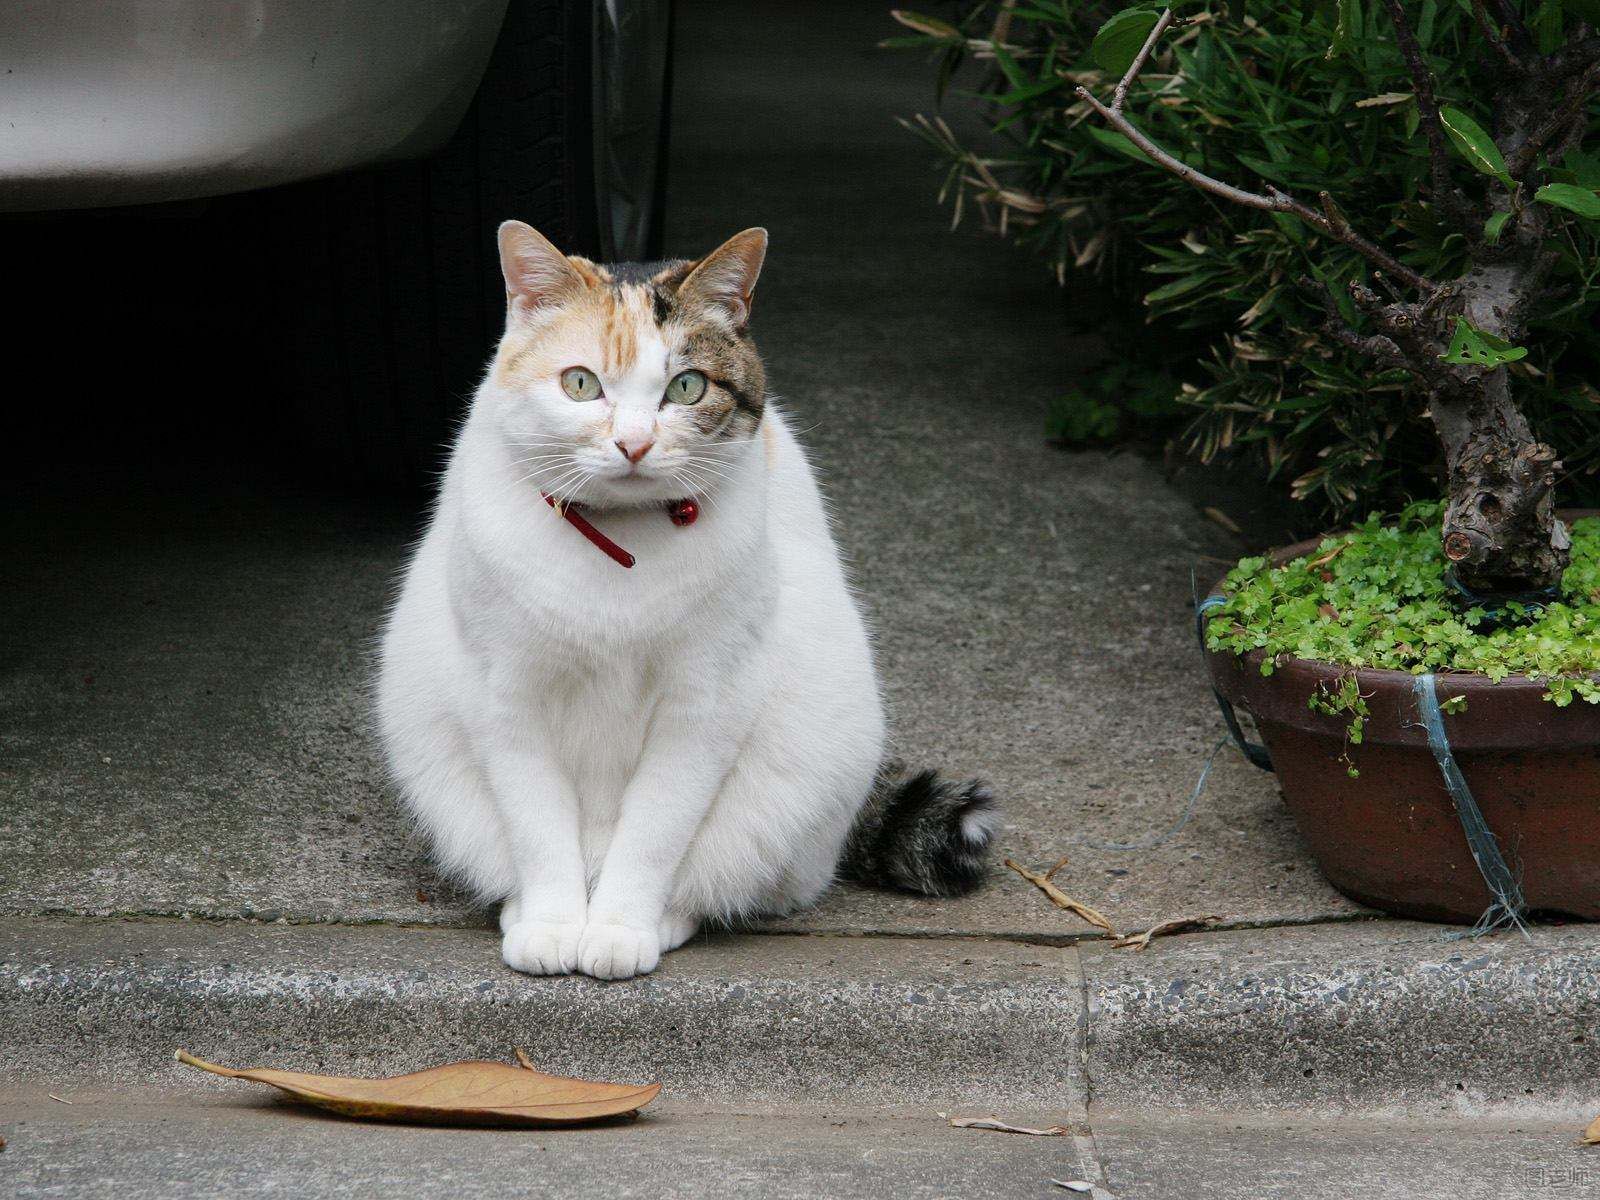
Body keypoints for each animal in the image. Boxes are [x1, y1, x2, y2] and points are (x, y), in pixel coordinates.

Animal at [377, 224, 998, 979]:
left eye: (686, 386)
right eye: (580, 383)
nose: (634, 442)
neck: (620, 545)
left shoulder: (703, 705)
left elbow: (654, 832)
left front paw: (618, 929)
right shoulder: (508, 699)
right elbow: (538, 829)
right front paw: (553, 924)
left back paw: (669, 917)